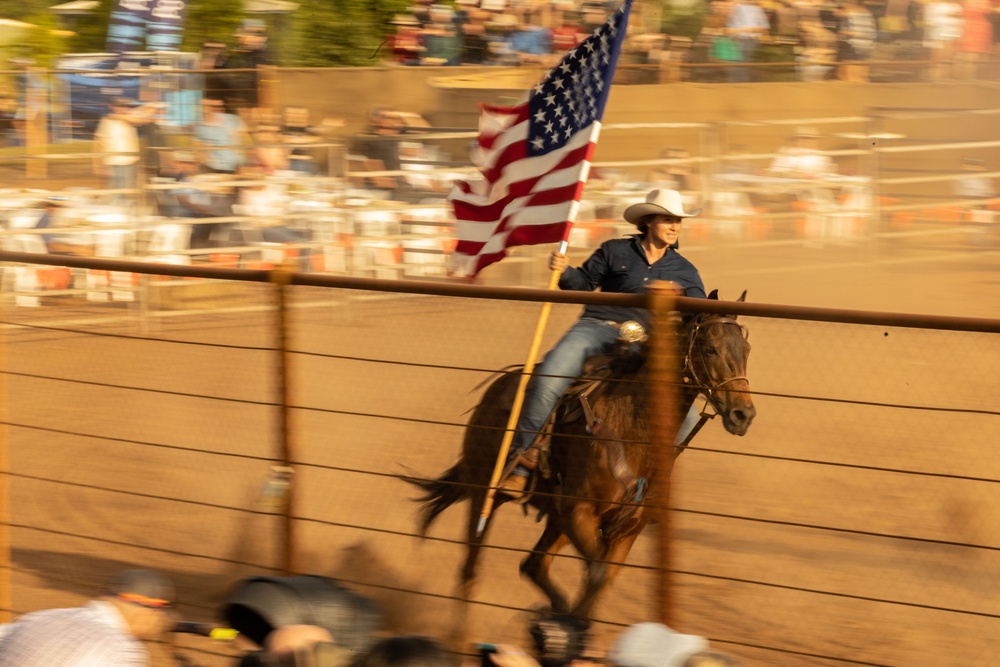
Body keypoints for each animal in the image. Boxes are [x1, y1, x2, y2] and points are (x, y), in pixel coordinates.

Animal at [410, 290, 752, 628]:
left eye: (746, 349)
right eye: (710, 349)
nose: (743, 414)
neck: (631, 427)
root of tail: (495, 391)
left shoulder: (627, 528)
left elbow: (597, 585)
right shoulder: (579, 513)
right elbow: (596, 576)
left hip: (556, 519)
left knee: (533, 564)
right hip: (486, 494)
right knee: (471, 567)